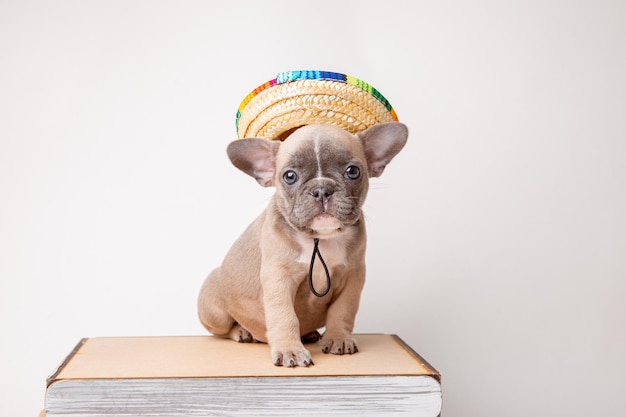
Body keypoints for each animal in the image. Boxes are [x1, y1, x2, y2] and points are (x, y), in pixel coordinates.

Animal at [197, 122, 408, 366]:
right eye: (289, 176)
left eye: (353, 171)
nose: (321, 190)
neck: (320, 239)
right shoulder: (279, 277)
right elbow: (285, 316)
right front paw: (290, 350)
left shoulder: (353, 276)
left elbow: (343, 310)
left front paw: (338, 338)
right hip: (216, 312)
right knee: (222, 330)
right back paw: (242, 332)